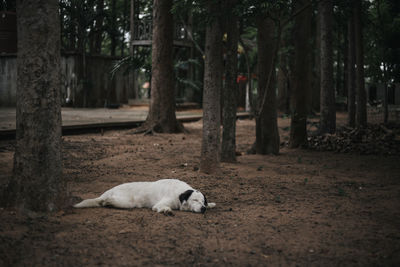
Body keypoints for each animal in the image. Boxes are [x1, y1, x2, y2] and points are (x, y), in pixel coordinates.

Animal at [73, 180, 214, 216]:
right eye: (195, 200)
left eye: (203, 202)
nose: (203, 208)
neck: (178, 192)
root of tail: (107, 192)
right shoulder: (159, 205)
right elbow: (163, 208)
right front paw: (167, 211)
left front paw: (211, 204)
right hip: (127, 202)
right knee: (104, 201)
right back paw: (107, 201)